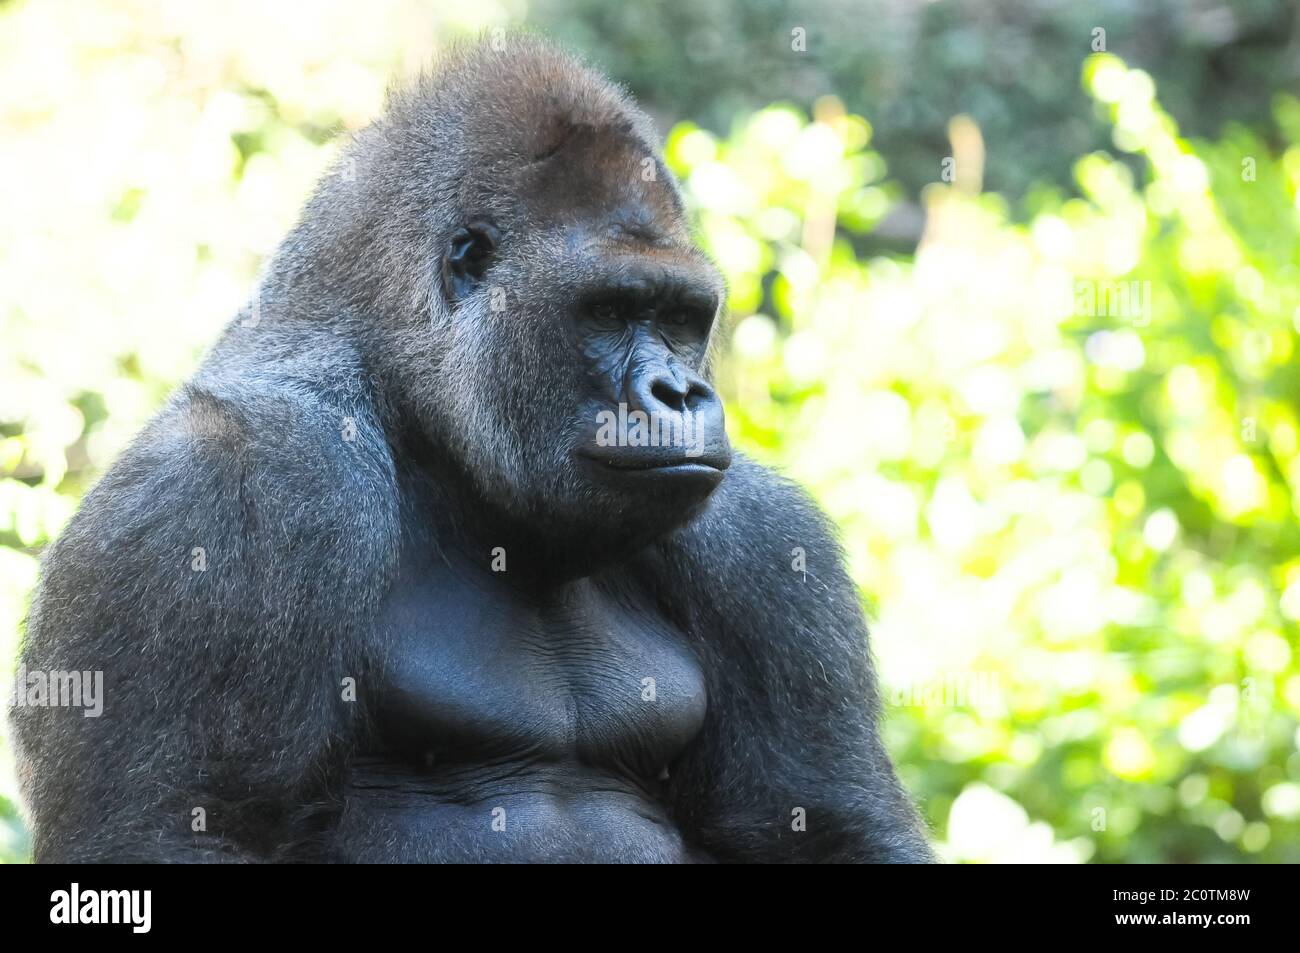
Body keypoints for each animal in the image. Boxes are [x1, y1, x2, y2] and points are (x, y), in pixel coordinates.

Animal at [7, 37, 925, 863]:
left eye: (679, 318)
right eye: (610, 309)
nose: (681, 393)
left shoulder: (768, 545)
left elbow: (827, 832)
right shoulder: (232, 483)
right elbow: (187, 825)